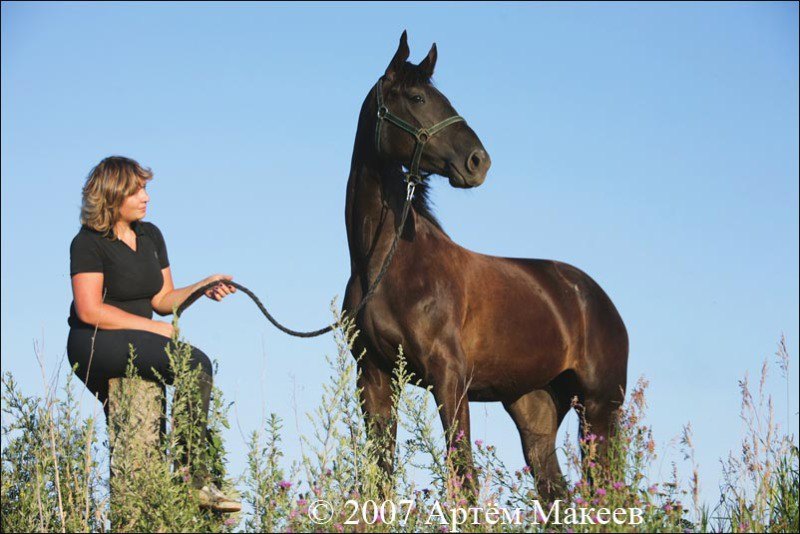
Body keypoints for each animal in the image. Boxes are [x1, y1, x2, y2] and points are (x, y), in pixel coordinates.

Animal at [340, 32, 628, 502]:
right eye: (417, 97)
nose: (479, 161)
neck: (385, 265)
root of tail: (599, 301)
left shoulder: (449, 378)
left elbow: (462, 477)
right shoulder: (374, 377)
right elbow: (380, 477)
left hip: (600, 409)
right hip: (536, 410)